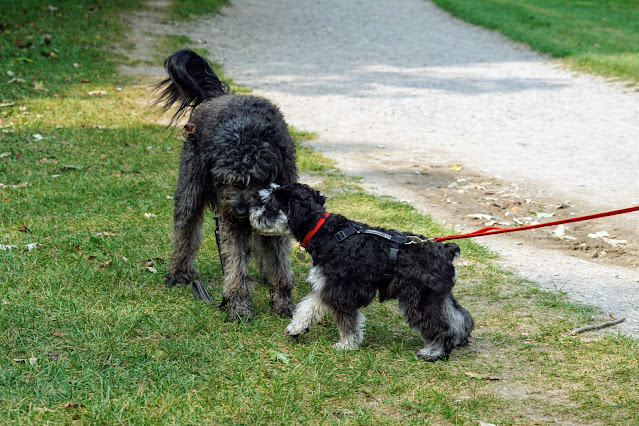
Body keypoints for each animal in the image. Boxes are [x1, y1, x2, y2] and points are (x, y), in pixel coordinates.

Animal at [155, 50, 298, 322]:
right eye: (225, 180)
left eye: (255, 179)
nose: (241, 210)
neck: (247, 134)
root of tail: (219, 96)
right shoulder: (229, 221)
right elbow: (235, 269)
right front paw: (240, 307)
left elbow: (279, 266)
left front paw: (283, 303)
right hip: (190, 189)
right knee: (185, 231)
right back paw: (178, 272)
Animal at [250, 182, 476, 360]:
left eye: (269, 205)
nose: (251, 214)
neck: (325, 231)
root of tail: (447, 250)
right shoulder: (325, 286)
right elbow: (307, 307)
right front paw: (296, 328)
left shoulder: (339, 290)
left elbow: (348, 322)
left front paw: (346, 345)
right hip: (438, 296)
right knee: (459, 317)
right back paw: (459, 338)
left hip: (419, 300)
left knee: (442, 326)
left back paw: (434, 352)